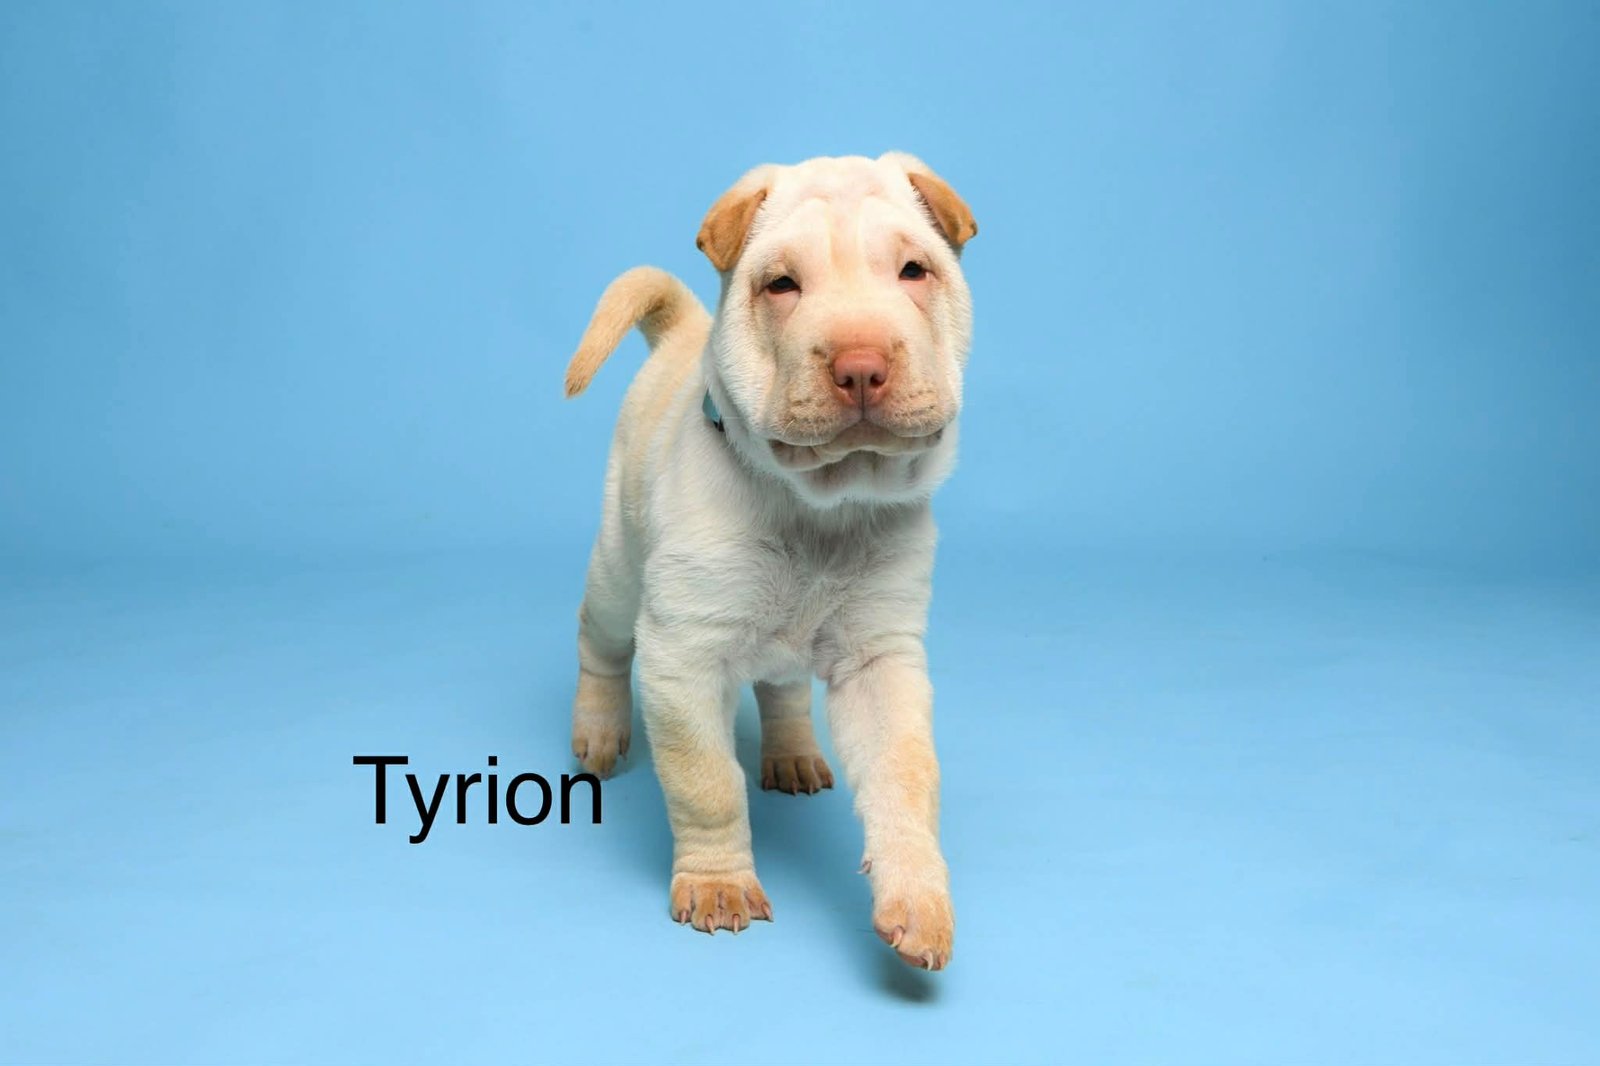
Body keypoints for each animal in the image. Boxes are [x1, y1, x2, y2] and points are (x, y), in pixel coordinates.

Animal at [562, 152, 976, 970]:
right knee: (600, 639)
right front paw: (719, 885)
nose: (861, 367)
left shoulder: (881, 658)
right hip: (619, 571)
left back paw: (791, 755)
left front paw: (918, 897)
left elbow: (907, 775)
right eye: (781, 285)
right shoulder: (682, 656)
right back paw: (597, 732)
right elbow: (706, 781)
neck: (820, 504)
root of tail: (687, 330)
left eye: (914, 270)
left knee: (783, 689)